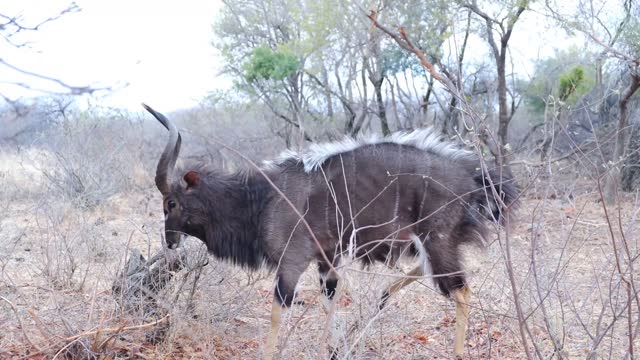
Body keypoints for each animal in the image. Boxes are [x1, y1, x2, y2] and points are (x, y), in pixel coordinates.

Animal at [142, 102, 516, 358]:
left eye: (171, 203)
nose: (170, 242)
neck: (260, 199)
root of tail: (474, 179)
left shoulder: (292, 262)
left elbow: (279, 311)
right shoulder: (327, 260)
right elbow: (329, 300)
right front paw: (335, 349)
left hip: (435, 241)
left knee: (461, 290)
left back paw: (457, 352)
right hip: (427, 244)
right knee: (426, 276)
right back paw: (380, 300)